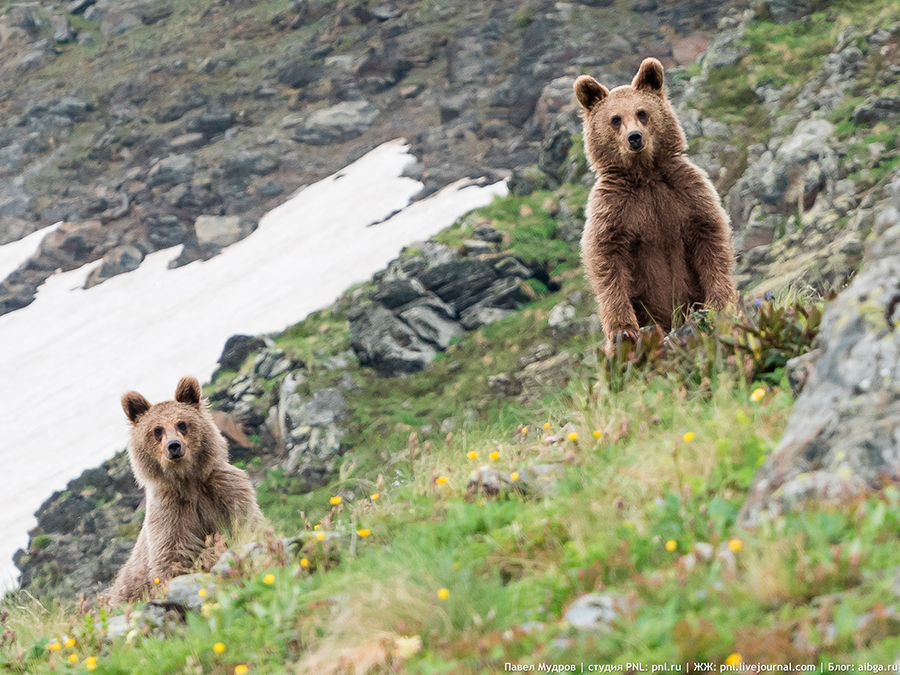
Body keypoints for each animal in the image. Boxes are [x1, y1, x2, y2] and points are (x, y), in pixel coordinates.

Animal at [109, 378, 264, 604]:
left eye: (182, 424)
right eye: (157, 430)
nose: (173, 446)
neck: (188, 482)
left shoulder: (226, 491)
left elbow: (246, 524)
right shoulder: (170, 514)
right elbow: (173, 559)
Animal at [572, 59, 736, 354]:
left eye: (642, 112)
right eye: (615, 119)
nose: (634, 137)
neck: (645, 175)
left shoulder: (685, 194)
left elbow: (711, 240)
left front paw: (719, 303)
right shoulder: (615, 209)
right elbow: (607, 261)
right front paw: (625, 330)